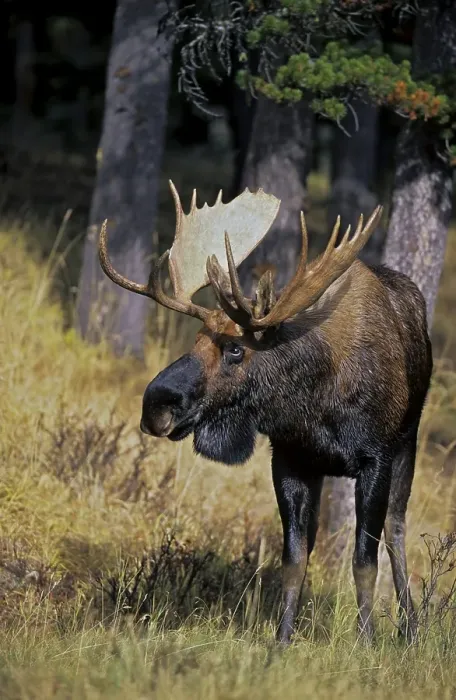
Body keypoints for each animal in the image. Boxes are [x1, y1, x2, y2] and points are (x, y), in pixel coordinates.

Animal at [98, 182, 433, 644]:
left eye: (235, 349)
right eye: (196, 339)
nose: (156, 403)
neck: (315, 402)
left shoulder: (376, 458)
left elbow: (364, 560)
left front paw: (365, 641)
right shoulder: (291, 458)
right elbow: (294, 558)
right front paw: (282, 639)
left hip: (409, 441)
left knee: (396, 529)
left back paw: (411, 630)